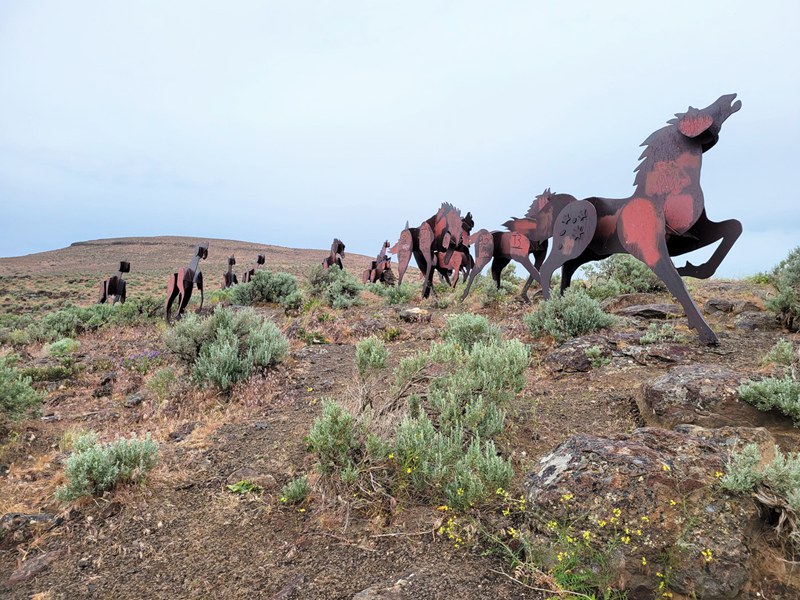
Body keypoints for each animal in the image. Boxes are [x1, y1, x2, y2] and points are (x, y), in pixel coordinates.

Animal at [552, 95, 740, 346]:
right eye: (701, 111)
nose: (731, 98)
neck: (665, 194)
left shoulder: (691, 237)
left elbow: (733, 227)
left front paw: (694, 269)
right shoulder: (653, 250)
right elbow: (676, 284)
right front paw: (706, 333)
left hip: (593, 252)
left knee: (567, 267)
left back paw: (562, 300)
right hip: (573, 248)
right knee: (550, 267)